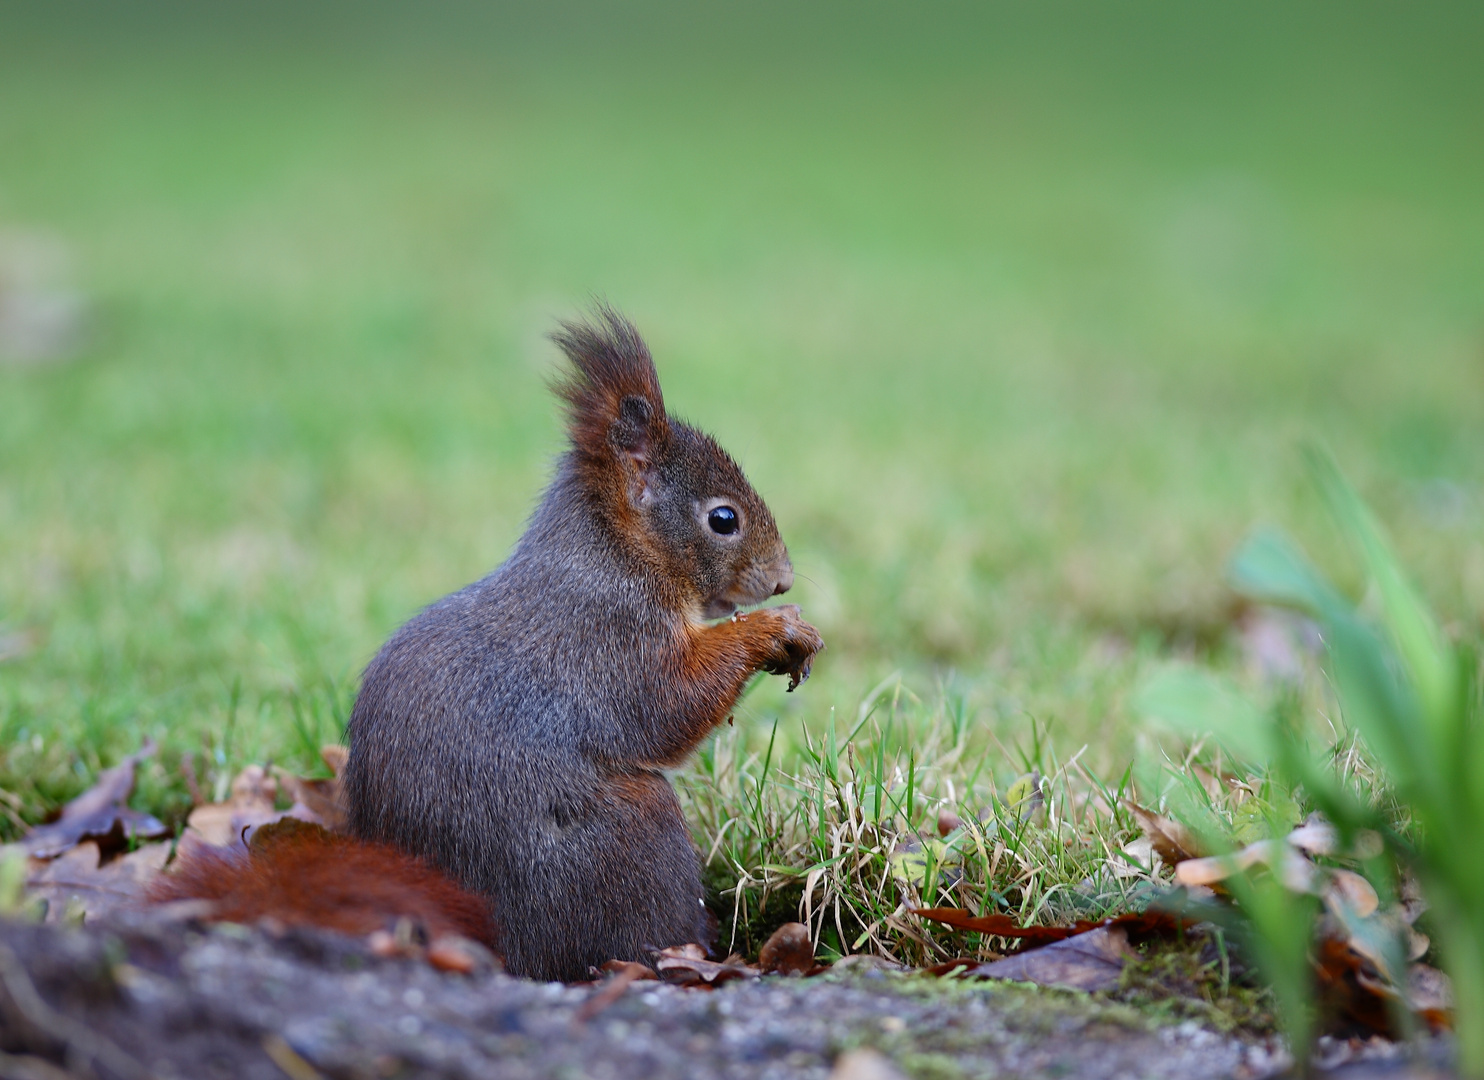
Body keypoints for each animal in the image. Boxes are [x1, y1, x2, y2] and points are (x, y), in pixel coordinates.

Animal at [153, 308, 825, 985]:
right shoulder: (605, 638)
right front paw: (774, 630)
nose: (782, 579)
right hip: (631, 841)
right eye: (722, 519)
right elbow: (668, 706)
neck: (617, 555)